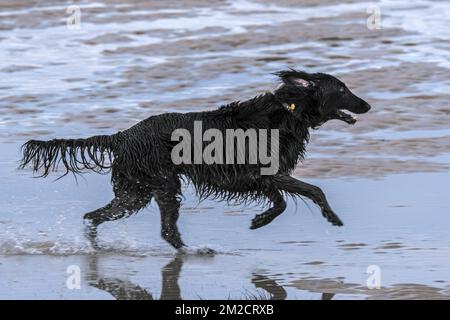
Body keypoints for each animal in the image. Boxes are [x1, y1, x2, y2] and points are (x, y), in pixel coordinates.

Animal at [20, 69, 370, 250]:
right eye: (341, 89)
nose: (367, 105)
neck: (286, 112)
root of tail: (123, 135)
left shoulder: (260, 177)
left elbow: (285, 199)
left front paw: (261, 220)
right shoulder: (262, 174)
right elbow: (309, 192)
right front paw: (331, 218)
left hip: (139, 191)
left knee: (97, 217)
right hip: (158, 186)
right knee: (162, 230)